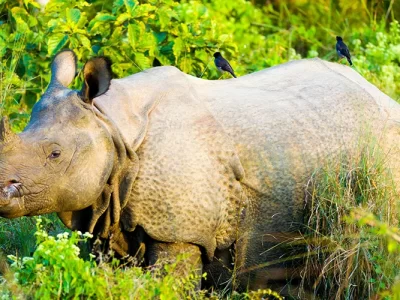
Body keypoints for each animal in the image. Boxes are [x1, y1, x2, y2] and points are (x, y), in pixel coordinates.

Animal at [0, 49, 400, 292]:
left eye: (55, 154)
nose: (2, 190)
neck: (112, 125)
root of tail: (383, 95)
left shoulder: (180, 230)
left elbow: (167, 283)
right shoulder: (106, 212)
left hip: (383, 150)